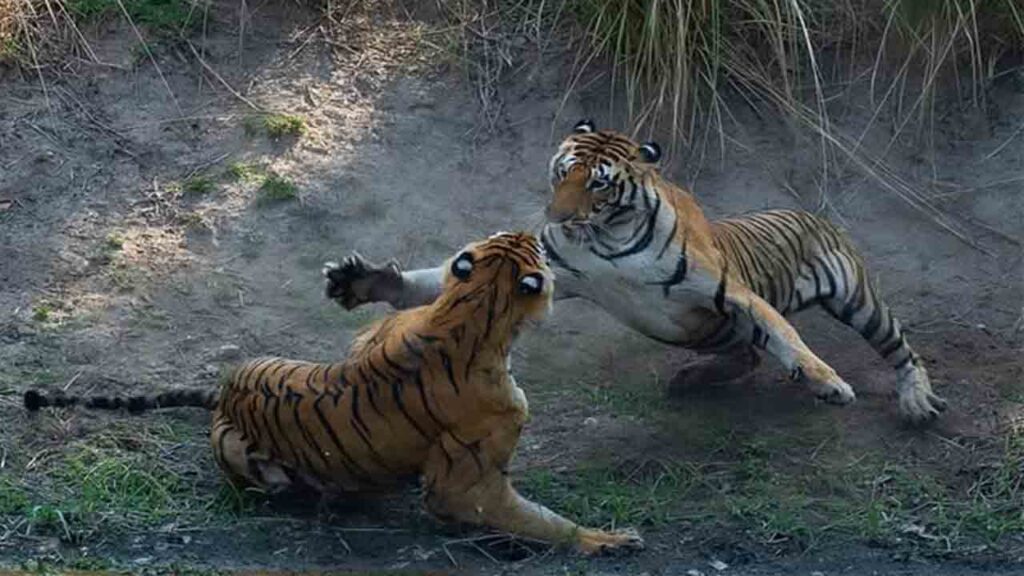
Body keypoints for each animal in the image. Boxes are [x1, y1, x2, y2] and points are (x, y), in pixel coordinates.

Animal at [23, 231, 644, 556]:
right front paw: (606, 539)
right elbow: (536, 519)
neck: (468, 314)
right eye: (528, 248)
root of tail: (223, 393)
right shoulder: (471, 482)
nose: (540, 234)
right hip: (254, 462)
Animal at [321, 120, 947, 424]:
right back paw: (691, 379)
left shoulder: (732, 292)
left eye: (597, 184)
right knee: (745, 355)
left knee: (902, 350)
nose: (555, 216)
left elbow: (788, 336)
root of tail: (811, 210)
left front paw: (828, 383)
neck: (608, 239)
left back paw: (916, 403)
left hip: (857, 298)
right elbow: (429, 281)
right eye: (562, 172)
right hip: (721, 333)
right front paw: (362, 281)